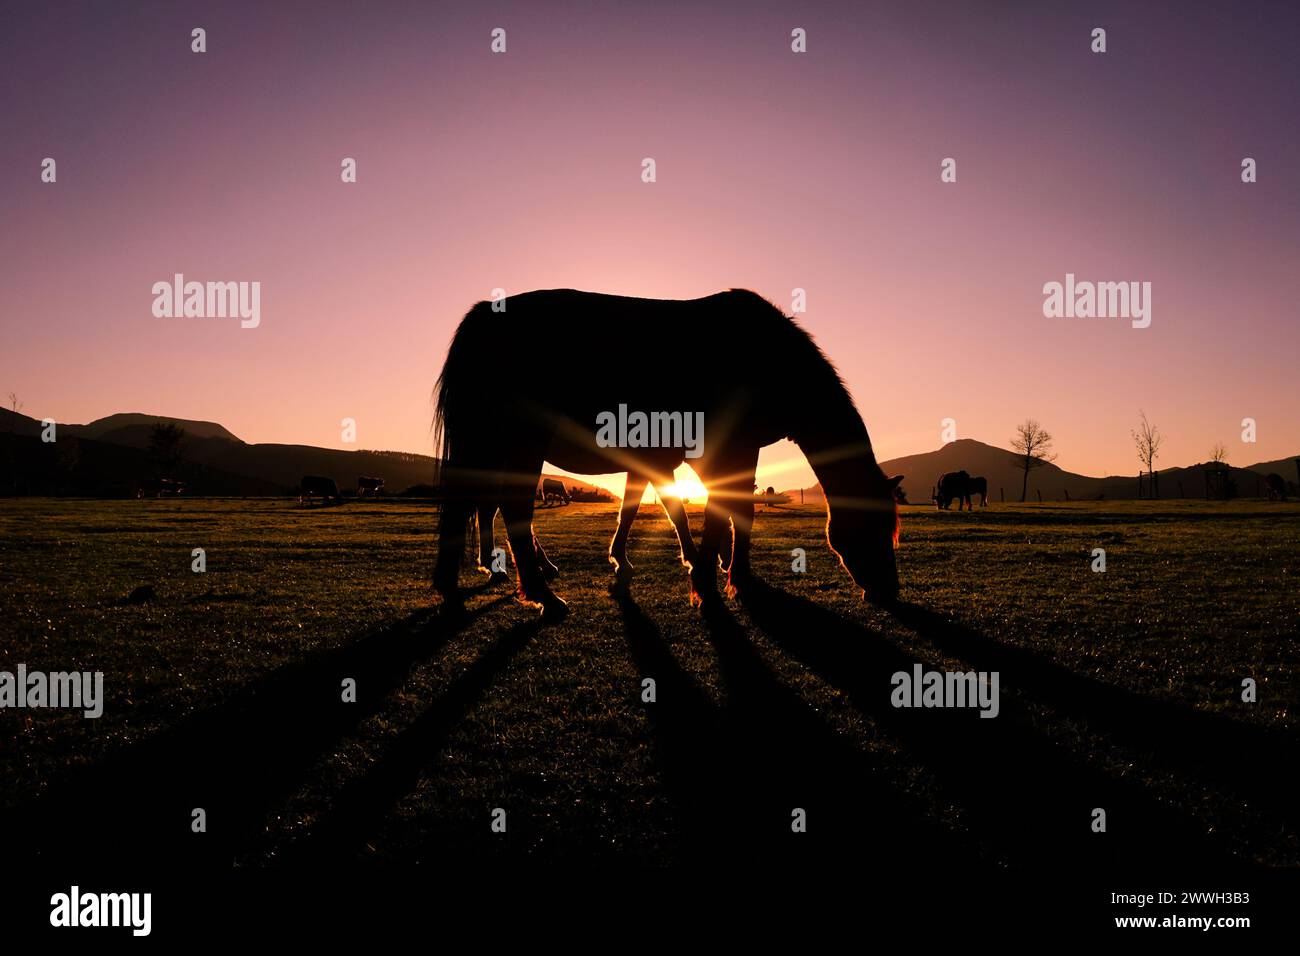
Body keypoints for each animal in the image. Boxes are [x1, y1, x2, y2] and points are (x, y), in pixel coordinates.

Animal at [436, 287, 904, 624]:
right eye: (877, 526)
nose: (889, 592)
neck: (767, 359)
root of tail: (484, 315)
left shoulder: (678, 457)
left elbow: (661, 509)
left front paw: (728, 575)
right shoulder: (722, 449)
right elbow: (711, 511)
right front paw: (709, 584)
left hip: (489, 444)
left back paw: (461, 584)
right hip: (520, 441)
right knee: (508, 507)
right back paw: (542, 596)